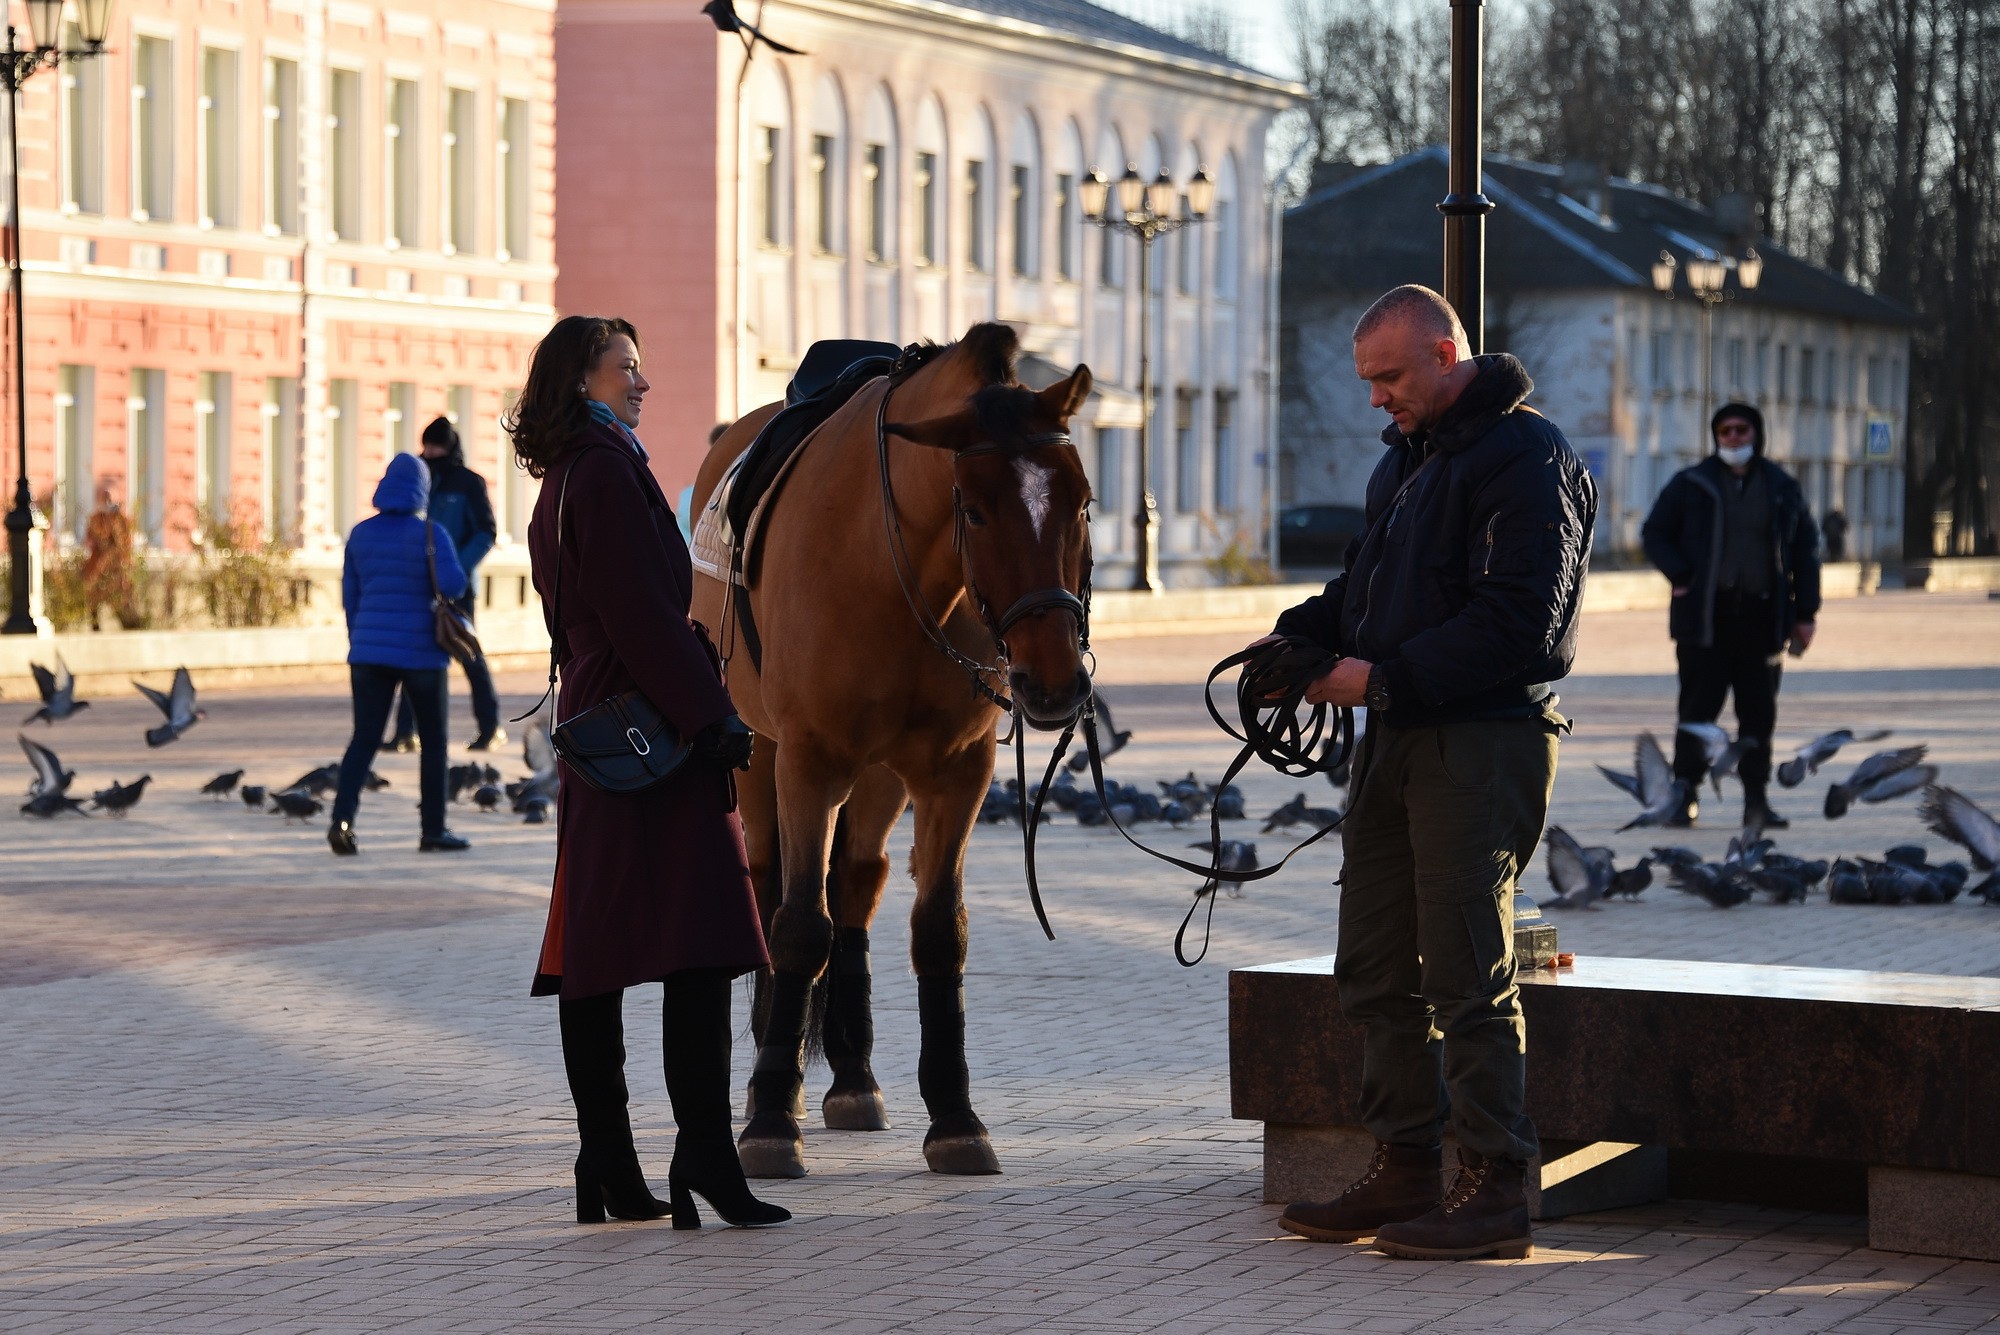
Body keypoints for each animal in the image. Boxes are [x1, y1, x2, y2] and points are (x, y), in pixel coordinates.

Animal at [688, 325, 1096, 1175]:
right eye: (974, 508)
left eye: (1081, 501)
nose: (1054, 681)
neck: (891, 563)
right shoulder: (806, 759)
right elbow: (797, 925)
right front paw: (770, 1118)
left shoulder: (956, 771)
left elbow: (939, 928)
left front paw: (955, 1116)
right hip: (761, 755)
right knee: (775, 885)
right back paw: (773, 1077)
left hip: (879, 777)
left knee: (856, 881)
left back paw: (852, 1076)